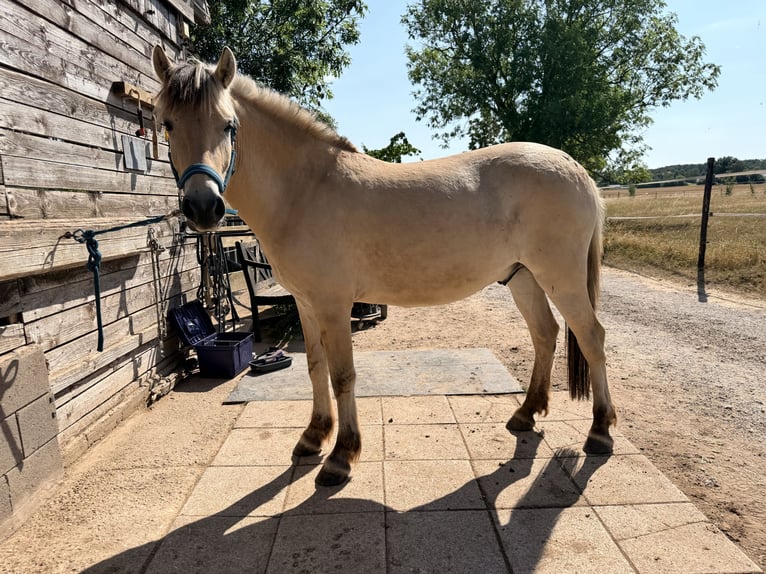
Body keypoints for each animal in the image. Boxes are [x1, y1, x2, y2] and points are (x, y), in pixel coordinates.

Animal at [152, 46, 616, 486]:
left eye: (228, 125)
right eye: (168, 124)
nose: (204, 207)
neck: (304, 189)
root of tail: (575, 168)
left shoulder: (333, 305)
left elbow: (342, 375)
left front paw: (341, 457)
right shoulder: (304, 303)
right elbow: (315, 368)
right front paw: (313, 436)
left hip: (561, 278)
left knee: (591, 337)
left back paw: (599, 431)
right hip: (523, 277)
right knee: (545, 334)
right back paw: (526, 414)